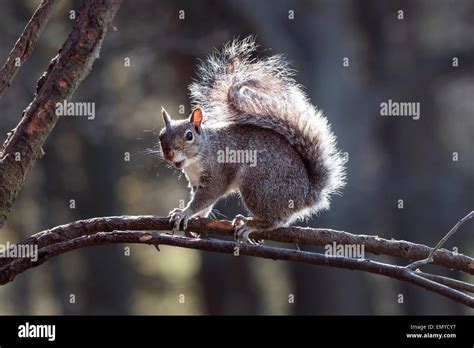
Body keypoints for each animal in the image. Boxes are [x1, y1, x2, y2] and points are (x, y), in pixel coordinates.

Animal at [157, 37, 346, 242]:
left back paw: (250, 224)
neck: (196, 159)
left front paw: (185, 212)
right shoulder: (195, 181)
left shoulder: (217, 173)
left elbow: (206, 196)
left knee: (274, 221)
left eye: (189, 136)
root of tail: (306, 195)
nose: (168, 154)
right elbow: (204, 204)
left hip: (256, 185)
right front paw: (196, 219)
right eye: (161, 135)